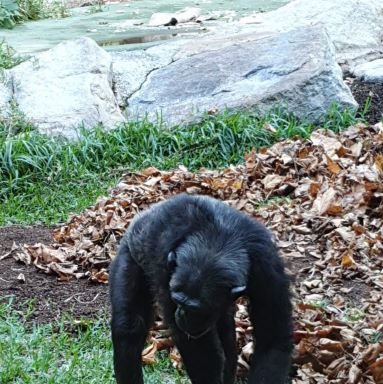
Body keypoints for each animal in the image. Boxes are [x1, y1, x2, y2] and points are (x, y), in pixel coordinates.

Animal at [109, 194, 292, 382]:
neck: (217, 241)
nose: (182, 315)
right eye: (178, 301)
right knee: (129, 327)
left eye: (195, 310)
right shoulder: (166, 272)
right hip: (127, 255)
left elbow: (272, 337)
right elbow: (200, 353)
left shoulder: (267, 268)